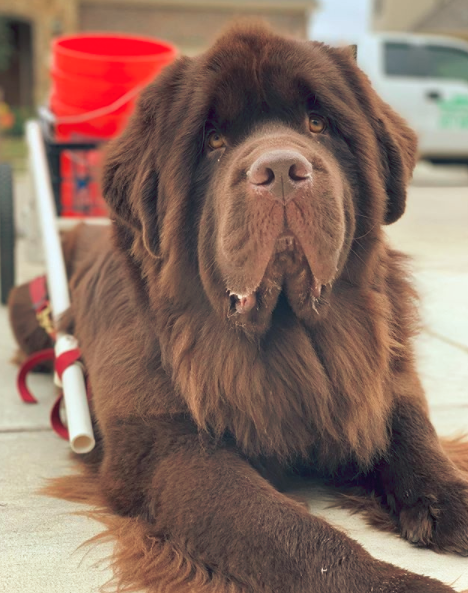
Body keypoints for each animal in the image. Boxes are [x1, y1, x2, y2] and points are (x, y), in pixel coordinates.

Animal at [32, 22, 468, 592]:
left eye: (318, 123)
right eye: (213, 140)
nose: (282, 168)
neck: (288, 335)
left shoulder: (380, 380)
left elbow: (417, 438)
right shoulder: (171, 448)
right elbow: (288, 533)